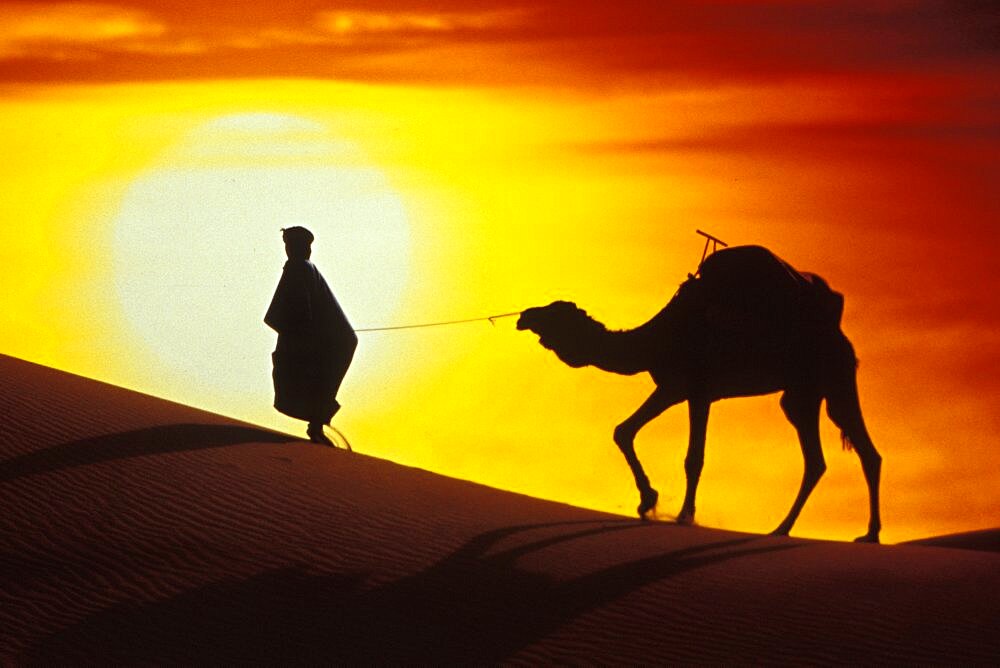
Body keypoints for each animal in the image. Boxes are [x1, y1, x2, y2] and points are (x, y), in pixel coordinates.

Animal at [520, 245, 880, 544]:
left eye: (554, 313)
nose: (524, 316)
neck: (658, 337)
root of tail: (841, 336)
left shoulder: (699, 389)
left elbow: (693, 458)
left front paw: (684, 516)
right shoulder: (671, 387)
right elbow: (623, 431)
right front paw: (648, 500)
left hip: (832, 378)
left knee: (858, 451)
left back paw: (865, 534)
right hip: (802, 393)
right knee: (822, 459)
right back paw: (787, 529)